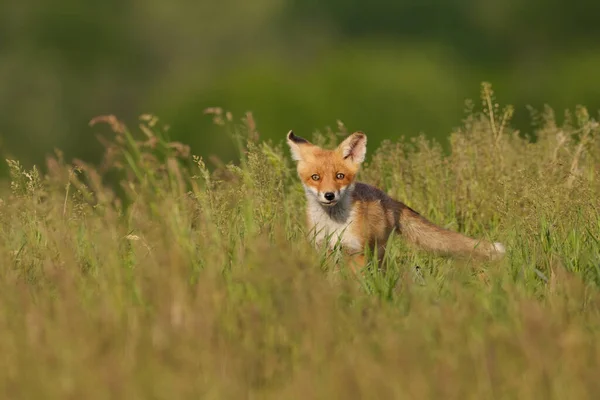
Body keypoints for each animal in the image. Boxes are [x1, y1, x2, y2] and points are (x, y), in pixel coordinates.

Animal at [288, 130, 506, 270]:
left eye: (340, 176)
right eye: (315, 177)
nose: (329, 195)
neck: (332, 225)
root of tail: (388, 198)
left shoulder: (356, 251)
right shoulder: (321, 248)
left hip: (378, 250)